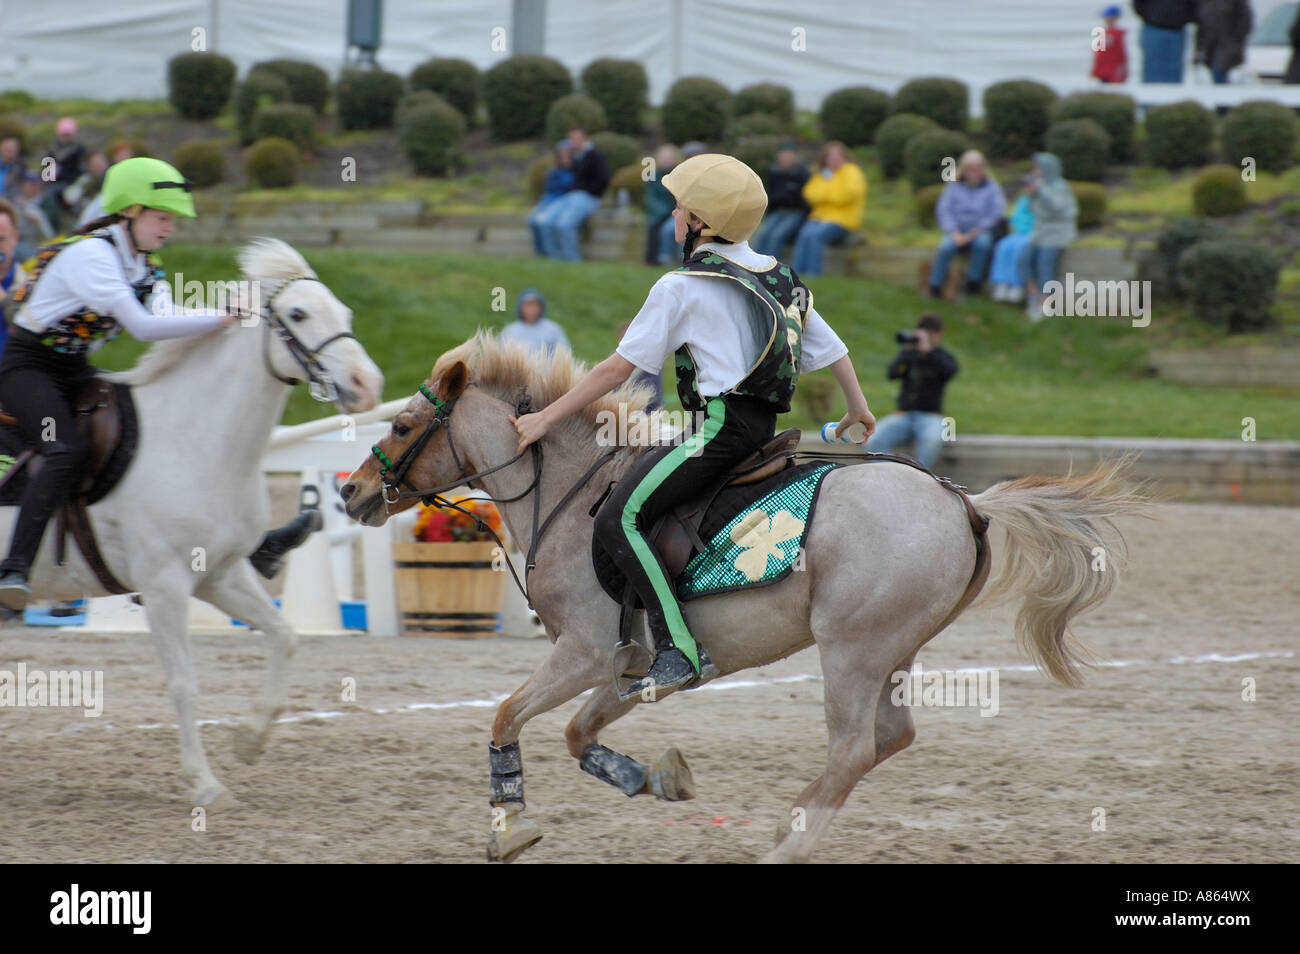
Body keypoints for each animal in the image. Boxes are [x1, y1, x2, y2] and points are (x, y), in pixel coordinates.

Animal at [0, 240, 382, 805]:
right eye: (297, 314)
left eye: (346, 313)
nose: (365, 385)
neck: (196, 438)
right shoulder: (164, 587)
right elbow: (184, 684)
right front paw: (205, 783)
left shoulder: (220, 576)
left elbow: (284, 636)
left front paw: (249, 740)